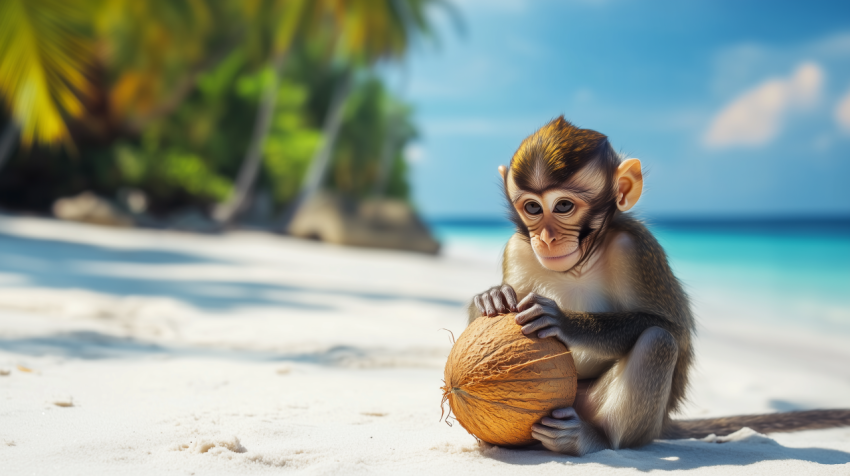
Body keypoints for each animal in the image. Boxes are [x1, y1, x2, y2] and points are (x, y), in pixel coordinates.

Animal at [470, 117, 848, 456]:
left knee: (658, 342)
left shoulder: (635, 250)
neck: (577, 266)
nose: (546, 238)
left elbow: (673, 330)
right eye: (532, 207)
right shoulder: (518, 248)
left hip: (606, 415)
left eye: (563, 206)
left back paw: (592, 440)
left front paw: (567, 322)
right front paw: (491, 297)